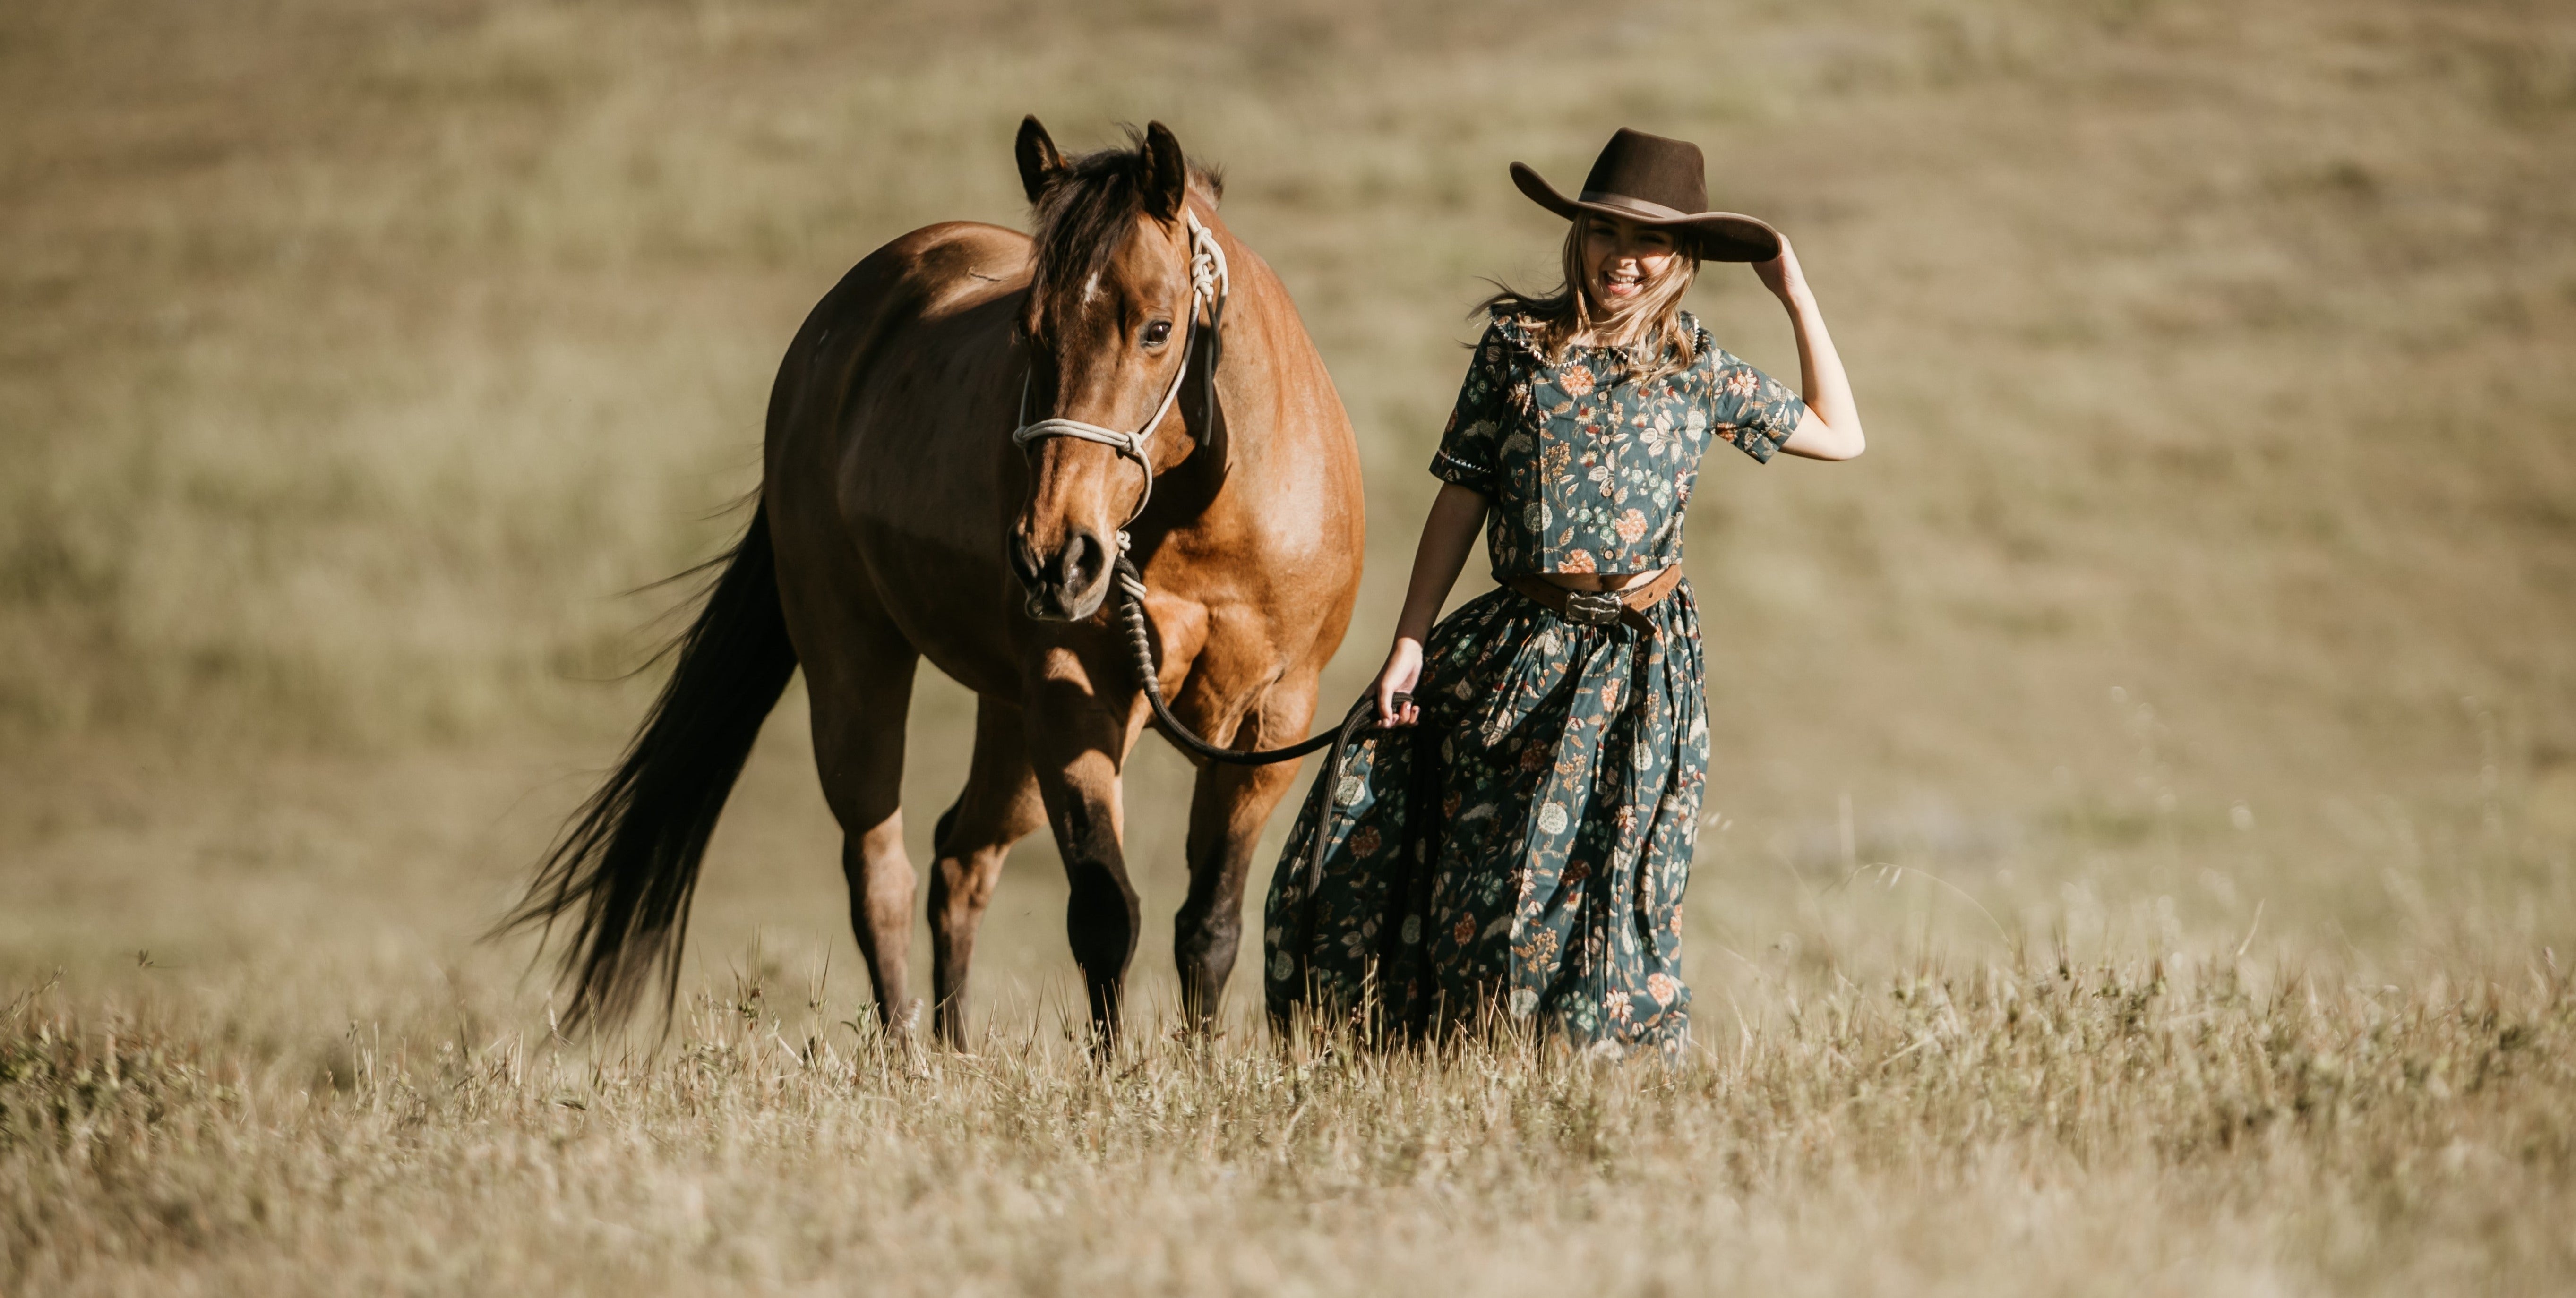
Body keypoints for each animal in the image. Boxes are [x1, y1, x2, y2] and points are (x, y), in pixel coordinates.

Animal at [512, 114, 1381, 1045]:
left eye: (1156, 328)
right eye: (1027, 332)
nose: (1055, 555)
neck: (1206, 526)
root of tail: (836, 325)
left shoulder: (1272, 718)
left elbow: (1209, 925)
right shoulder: (1075, 700)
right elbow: (1105, 914)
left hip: (1009, 720)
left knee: (961, 859)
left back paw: (955, 1049)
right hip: (856, 666)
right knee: (881, 873)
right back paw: (909, 1053)